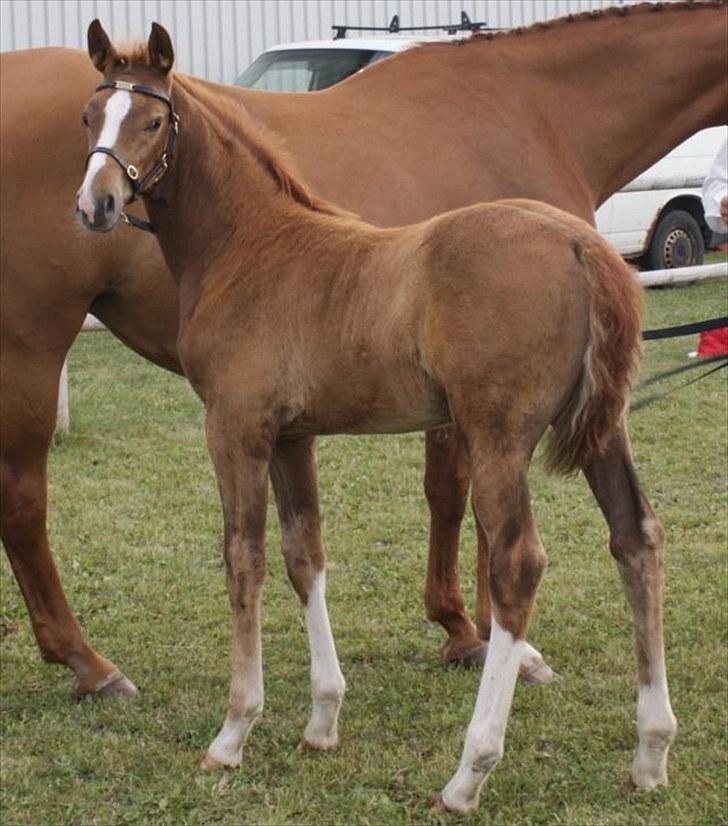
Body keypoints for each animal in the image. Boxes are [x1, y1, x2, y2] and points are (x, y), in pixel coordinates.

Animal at [1, 1, 728, 696]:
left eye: (152, 122)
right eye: (87, 118)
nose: (94, 204)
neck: (538, 109)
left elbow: (445, 496)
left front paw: (465, 631)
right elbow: (462, 504)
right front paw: (484, 637)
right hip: (31, 350)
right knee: (24, 501)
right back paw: (89, 663)